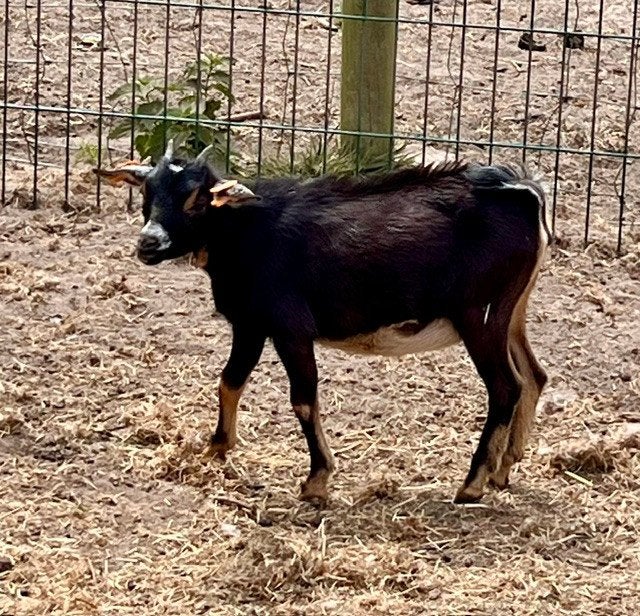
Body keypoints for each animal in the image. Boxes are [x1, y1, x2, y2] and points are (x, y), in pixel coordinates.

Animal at [96, 142, 549, 504]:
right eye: (147, 192)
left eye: (197, 199)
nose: (148, 243)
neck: (246, 231)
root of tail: (523, 193)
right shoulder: (251, 324)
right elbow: (229, 381)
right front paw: (216, 448)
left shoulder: (290, 328)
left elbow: (302, 398)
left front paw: (316, 482)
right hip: (510, 313)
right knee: (534, 375)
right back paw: (502, 471)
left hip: (479, 316)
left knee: (505, 387)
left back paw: (471, 485)